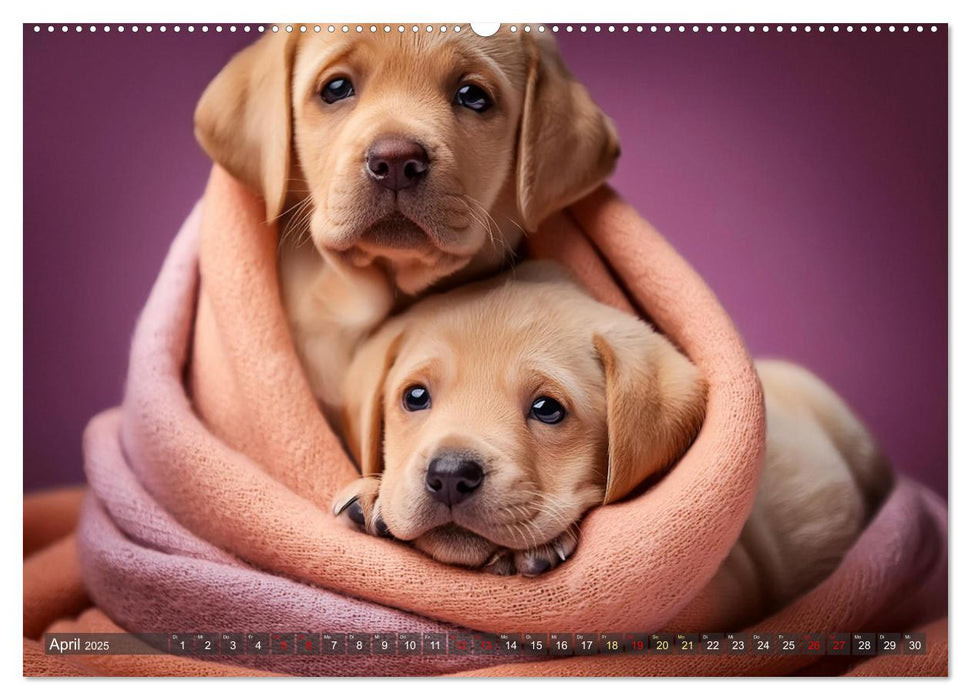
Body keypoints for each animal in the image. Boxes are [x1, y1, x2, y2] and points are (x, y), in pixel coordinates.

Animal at [336, 262, 896, 624]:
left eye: (548, 409)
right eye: (415, 396)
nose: (451, 475)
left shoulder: (718, 590)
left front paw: (541, 546)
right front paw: (372, 499)